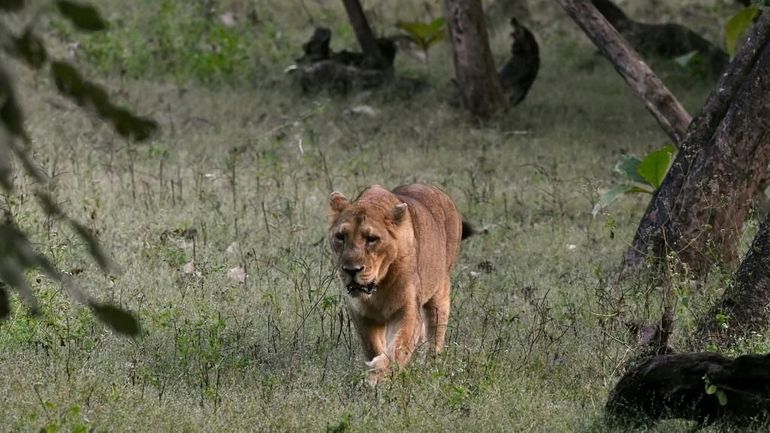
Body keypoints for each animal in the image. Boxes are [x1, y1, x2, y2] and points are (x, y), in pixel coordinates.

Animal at [327, 184, 471, 384]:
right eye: (341, 236)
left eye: (372, 239)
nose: (351, 270)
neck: (378, 288)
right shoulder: (360, 314)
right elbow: (373, 346)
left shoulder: (408, 310)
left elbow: (399, 347)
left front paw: (378, 376)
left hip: (439, 295)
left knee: (435, 335)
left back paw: (430, 367)